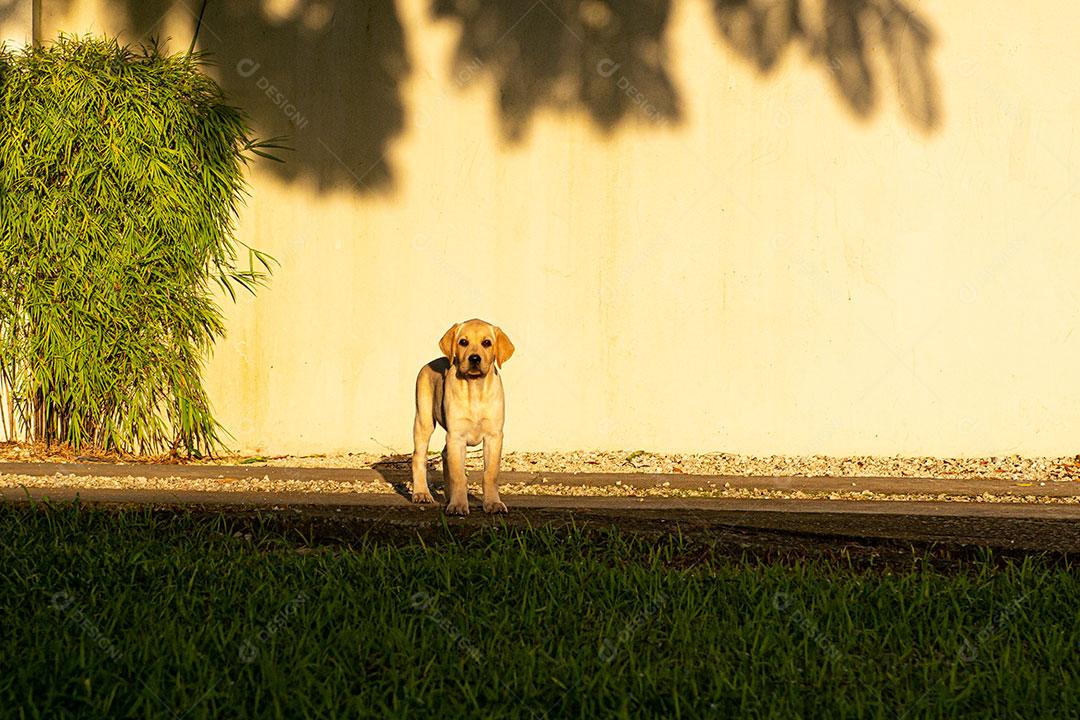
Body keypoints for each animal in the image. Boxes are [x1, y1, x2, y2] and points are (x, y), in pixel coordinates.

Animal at [412, 319, 514, 511]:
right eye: (463, 342)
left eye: (487, 343)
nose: (474, 358)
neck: (474, 387)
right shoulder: (456, 436)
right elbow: (459, 475)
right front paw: (458, 505)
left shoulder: (494, 436)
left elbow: (490, 474)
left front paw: (493, 503)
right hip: (424, 420)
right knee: (418, 457)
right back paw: (421, 493)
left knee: (444, 454)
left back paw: (448, 496)